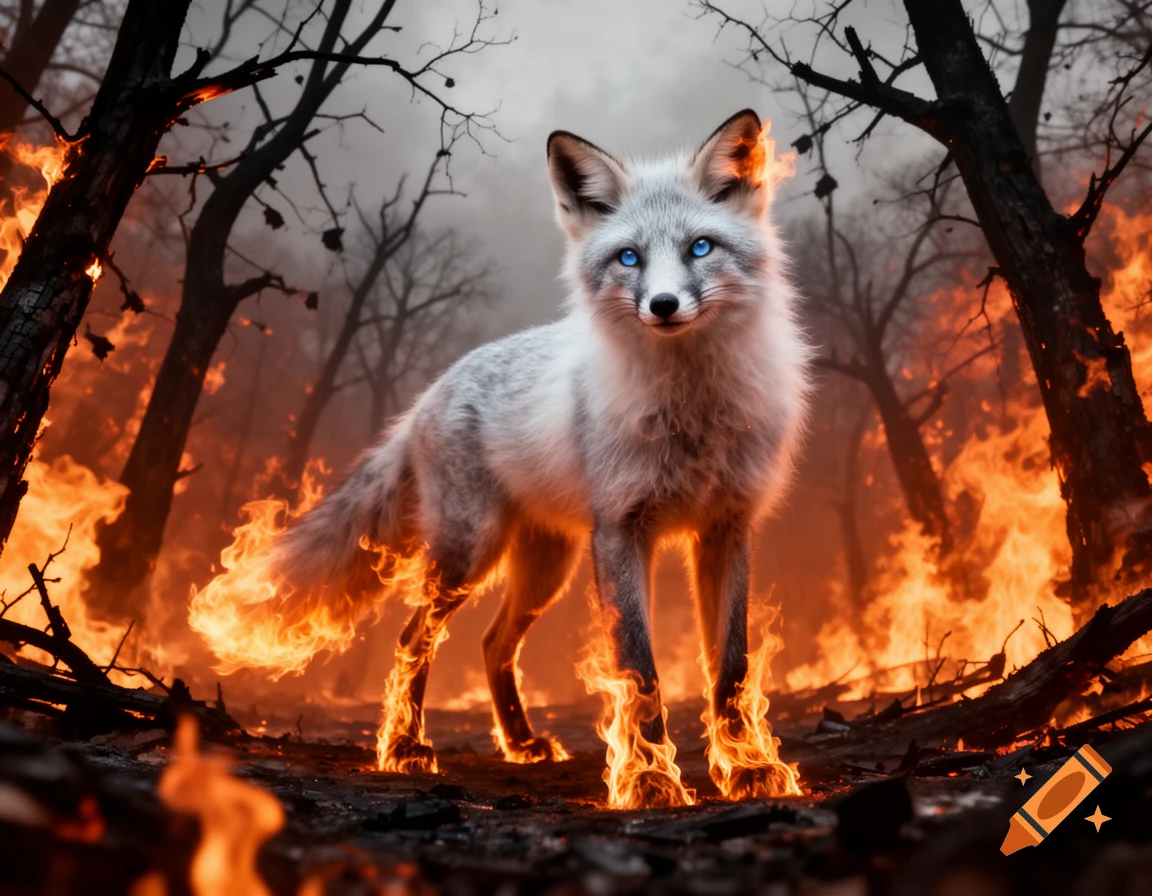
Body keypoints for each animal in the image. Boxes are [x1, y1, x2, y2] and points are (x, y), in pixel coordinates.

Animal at [254, 109, 812, 799]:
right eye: (629, 257)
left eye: (700, 248)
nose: (662, 306)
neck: (693, 410)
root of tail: (428, 395)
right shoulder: (622, 531)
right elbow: (640, 673)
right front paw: (649, 780)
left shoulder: (725, 530)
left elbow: (730, 672)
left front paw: (747, 767)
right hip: (469, 553)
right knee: (414, 640)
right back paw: (405, 747)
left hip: (548, 566)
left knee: (494, 644)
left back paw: (519, 743)